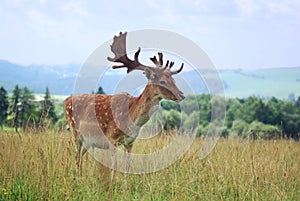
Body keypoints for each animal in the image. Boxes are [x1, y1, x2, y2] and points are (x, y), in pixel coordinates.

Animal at [63, 31, 185, 173]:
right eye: (162, 81)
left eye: (173, 80)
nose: (181, 95)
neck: (131, 120)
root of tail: (66, 100)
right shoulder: (112, 139)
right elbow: (114, 168)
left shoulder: (130, 142)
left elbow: (128, 166)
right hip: (75, 132)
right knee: (76, 157)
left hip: (87, 141)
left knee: (80, 157)